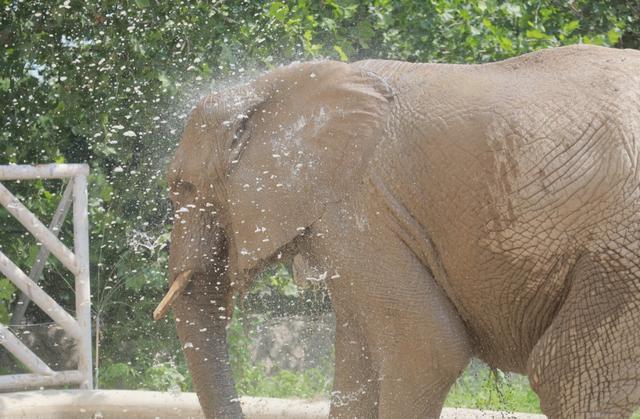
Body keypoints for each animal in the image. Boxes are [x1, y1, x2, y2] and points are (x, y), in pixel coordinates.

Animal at [155, 44, 640, 418]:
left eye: (183, 186)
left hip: (622, 253)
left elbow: (426, 349)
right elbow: (359, 357)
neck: (274, 89)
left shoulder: (359, 209)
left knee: (568, 375)